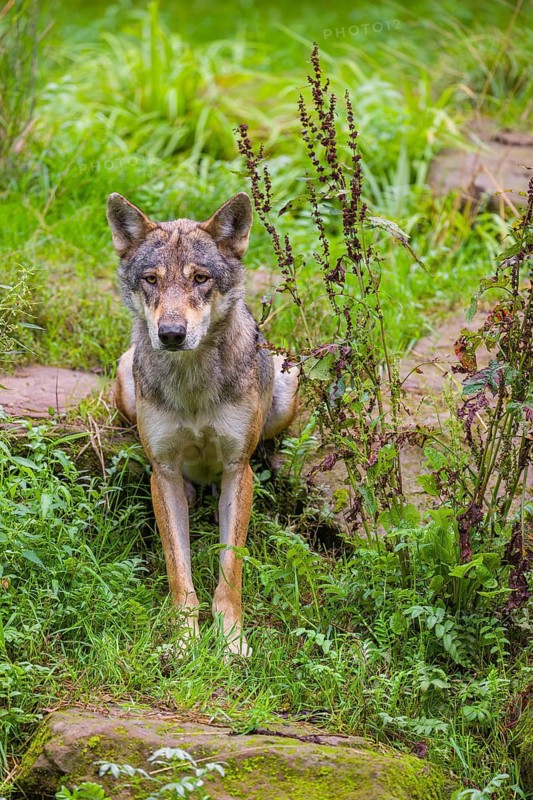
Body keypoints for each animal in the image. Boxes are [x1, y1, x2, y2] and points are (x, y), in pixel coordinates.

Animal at [106, 191, 298, 655]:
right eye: (151, 280)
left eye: (200, 279)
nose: (171, 333)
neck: (192, 384)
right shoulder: (164, 472)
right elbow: (180, 572)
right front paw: (184, 643)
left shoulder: (236, 471)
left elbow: (231, 571)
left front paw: (232, 643)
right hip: (123, 381)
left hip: (288, 384)